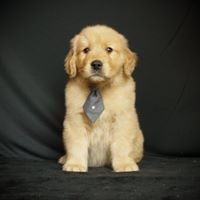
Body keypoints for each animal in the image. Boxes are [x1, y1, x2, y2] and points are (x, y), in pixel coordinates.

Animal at [58, 24, 144, 172]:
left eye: (109, 49)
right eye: (86, 50)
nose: (96, 64)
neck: (98, 87)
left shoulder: (123, 118)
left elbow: (122, 143)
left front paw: (124, 164)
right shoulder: (75, 119)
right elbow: (76, 143)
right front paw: (75, 164)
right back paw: (65, 158)